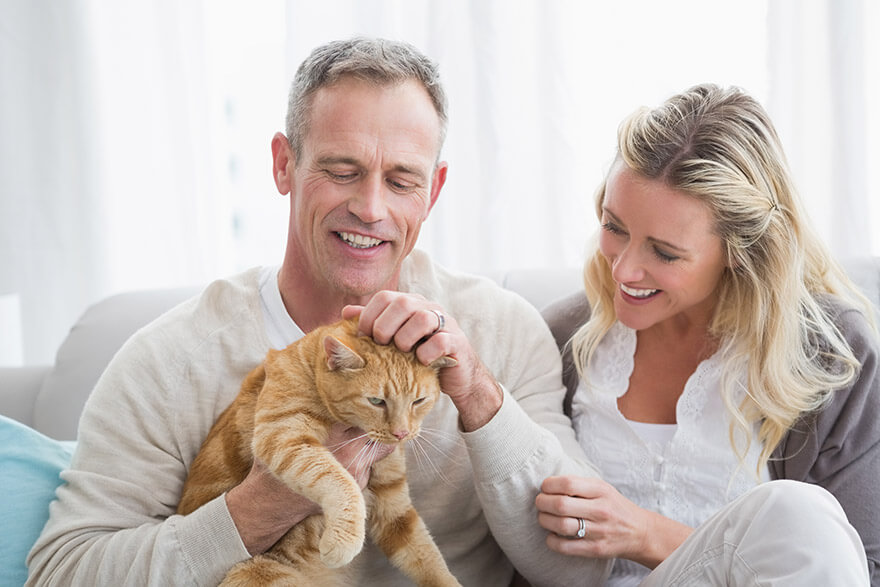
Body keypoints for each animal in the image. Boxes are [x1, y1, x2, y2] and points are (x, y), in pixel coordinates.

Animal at [182, 320, 464, 587]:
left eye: (419, 401)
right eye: (376, 401)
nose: (401, 433)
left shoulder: (393, 504)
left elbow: (424, 554)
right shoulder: (283, 435)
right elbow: (337, 480)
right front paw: (343, 540)